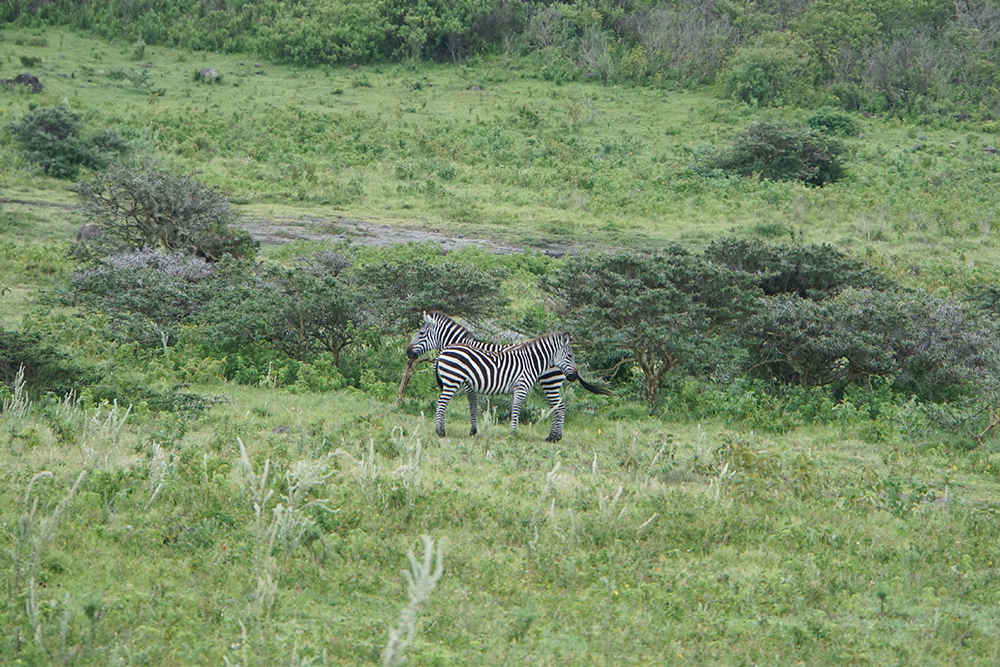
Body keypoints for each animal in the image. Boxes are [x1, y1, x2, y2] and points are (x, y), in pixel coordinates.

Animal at [432, 332, 584, 440]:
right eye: (570, 356)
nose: (574, 376)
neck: (531, 362)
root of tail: (444, 350)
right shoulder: (521, 387)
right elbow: (516, 410)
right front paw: (513, 433)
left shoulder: (516, 389)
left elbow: (512, 409)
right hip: (452, 380)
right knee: (441, 403)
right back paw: (440, 432)